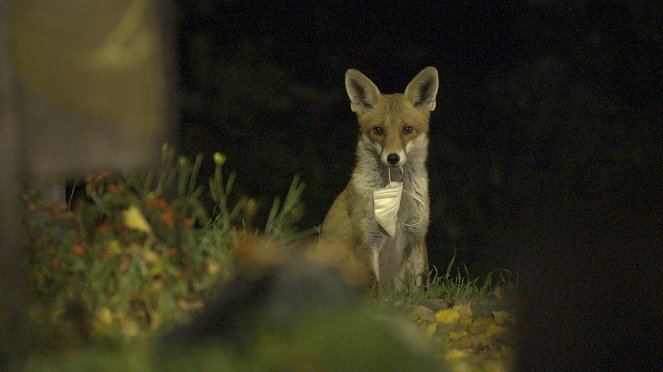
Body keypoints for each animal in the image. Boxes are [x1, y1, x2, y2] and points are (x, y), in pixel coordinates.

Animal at [322, 65, 440, 290]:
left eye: (407, 129)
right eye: (378, 130)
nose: (393, 157)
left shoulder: (417, 236)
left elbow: (421, 286)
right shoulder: (367, 239)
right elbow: (374, 288)